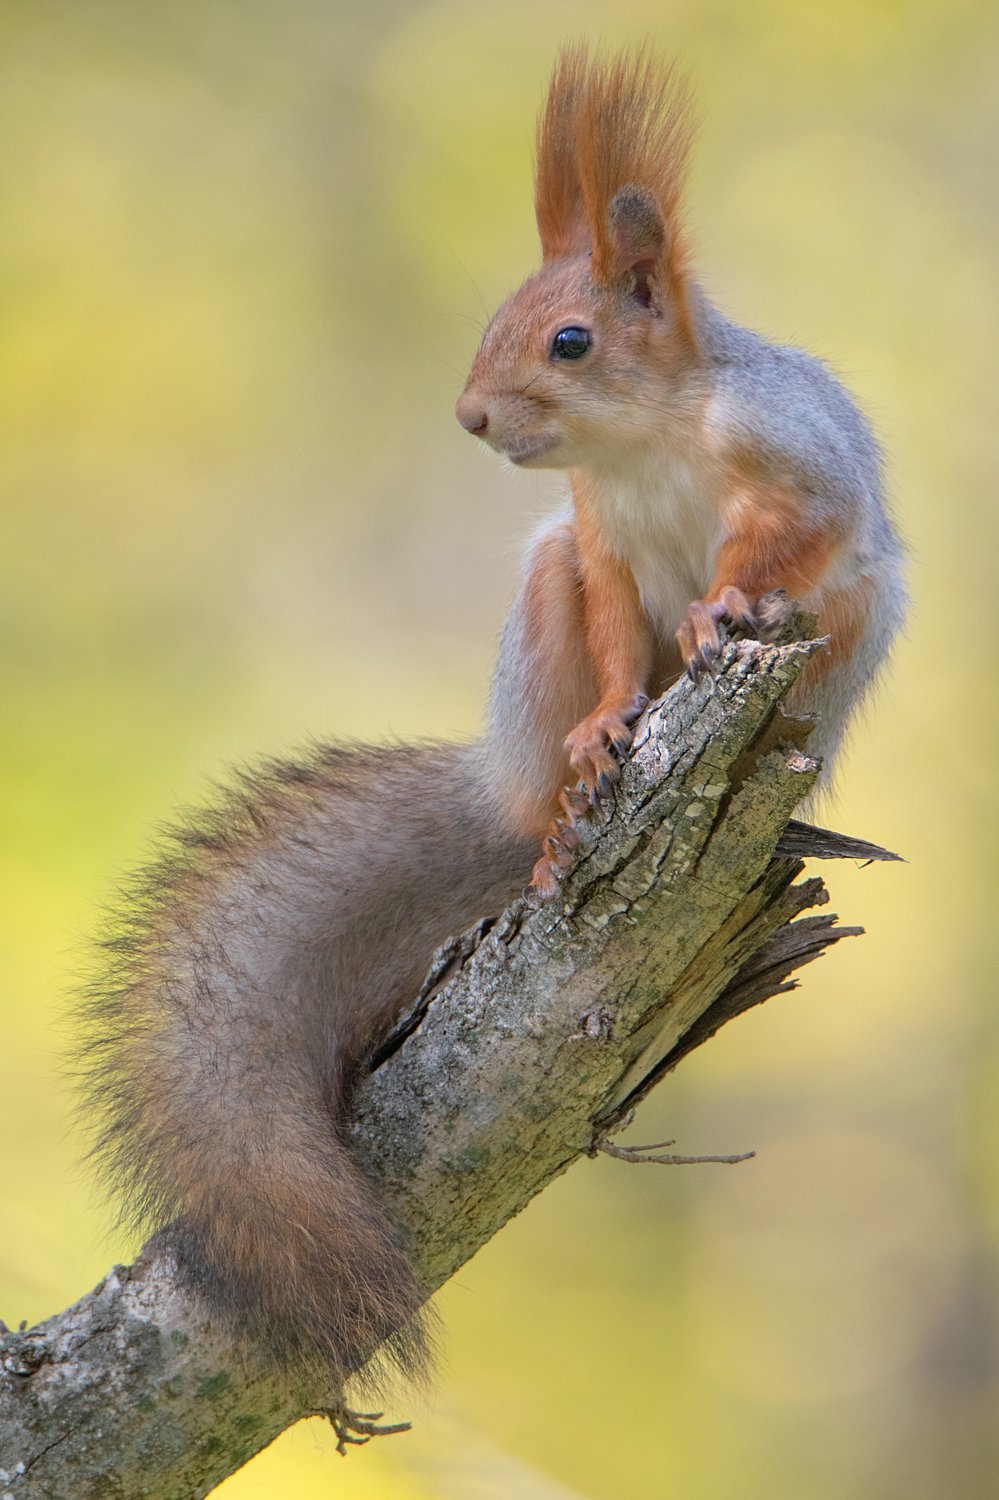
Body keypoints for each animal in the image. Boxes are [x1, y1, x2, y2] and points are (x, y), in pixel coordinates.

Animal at [78, 46, 900, 1398]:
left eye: (571, 340)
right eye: (495, 325)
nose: (469, 416)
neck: (650, 438)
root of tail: (501, 796)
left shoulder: (799, 470)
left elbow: (787, 538)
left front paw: (725, 602)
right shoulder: (599, 537)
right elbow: (618, 624)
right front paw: (614, 721)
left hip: (841, 654)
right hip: (545, 595)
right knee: (555, 717)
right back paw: (566, 803)